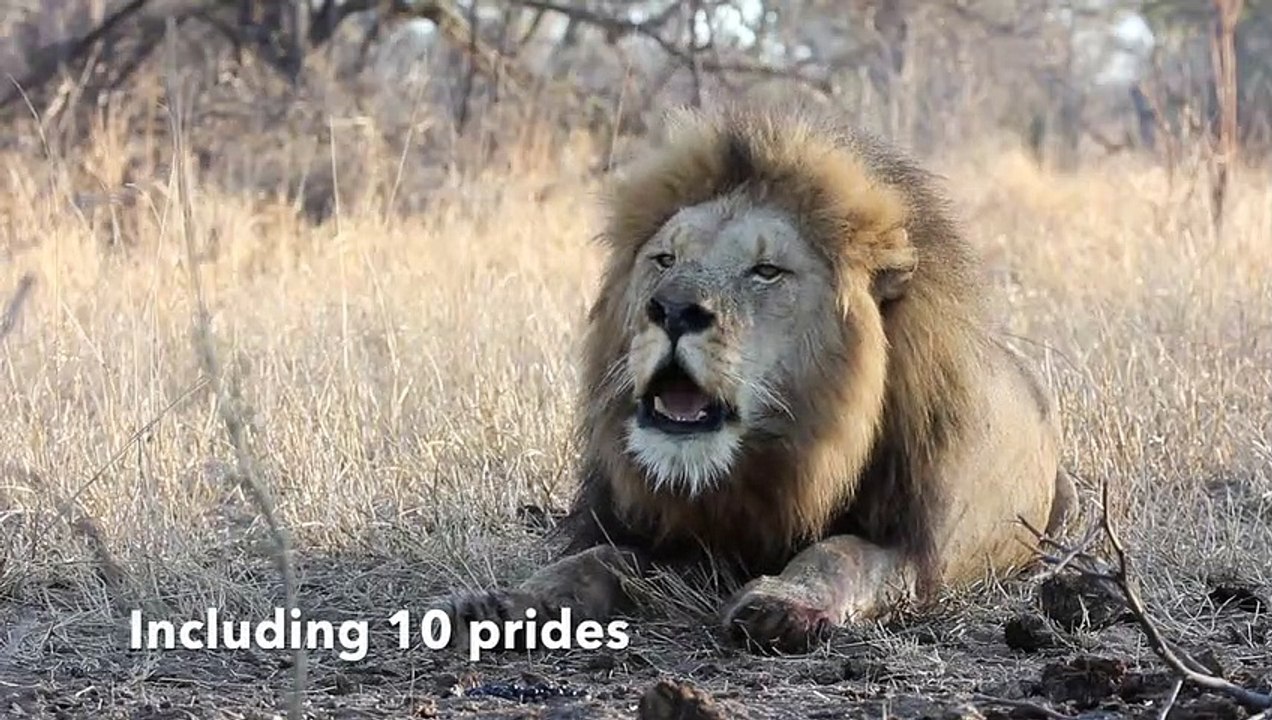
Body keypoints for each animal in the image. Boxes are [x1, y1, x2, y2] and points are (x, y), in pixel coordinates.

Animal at [440, 99, 1077, 654]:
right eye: (665, 260)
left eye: (766, 271)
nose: (672, 310)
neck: (773, 470)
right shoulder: (668, 535)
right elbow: (589, 561)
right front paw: (503, 606)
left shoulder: (915, 552)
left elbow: (840, 552)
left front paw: (780, 606)